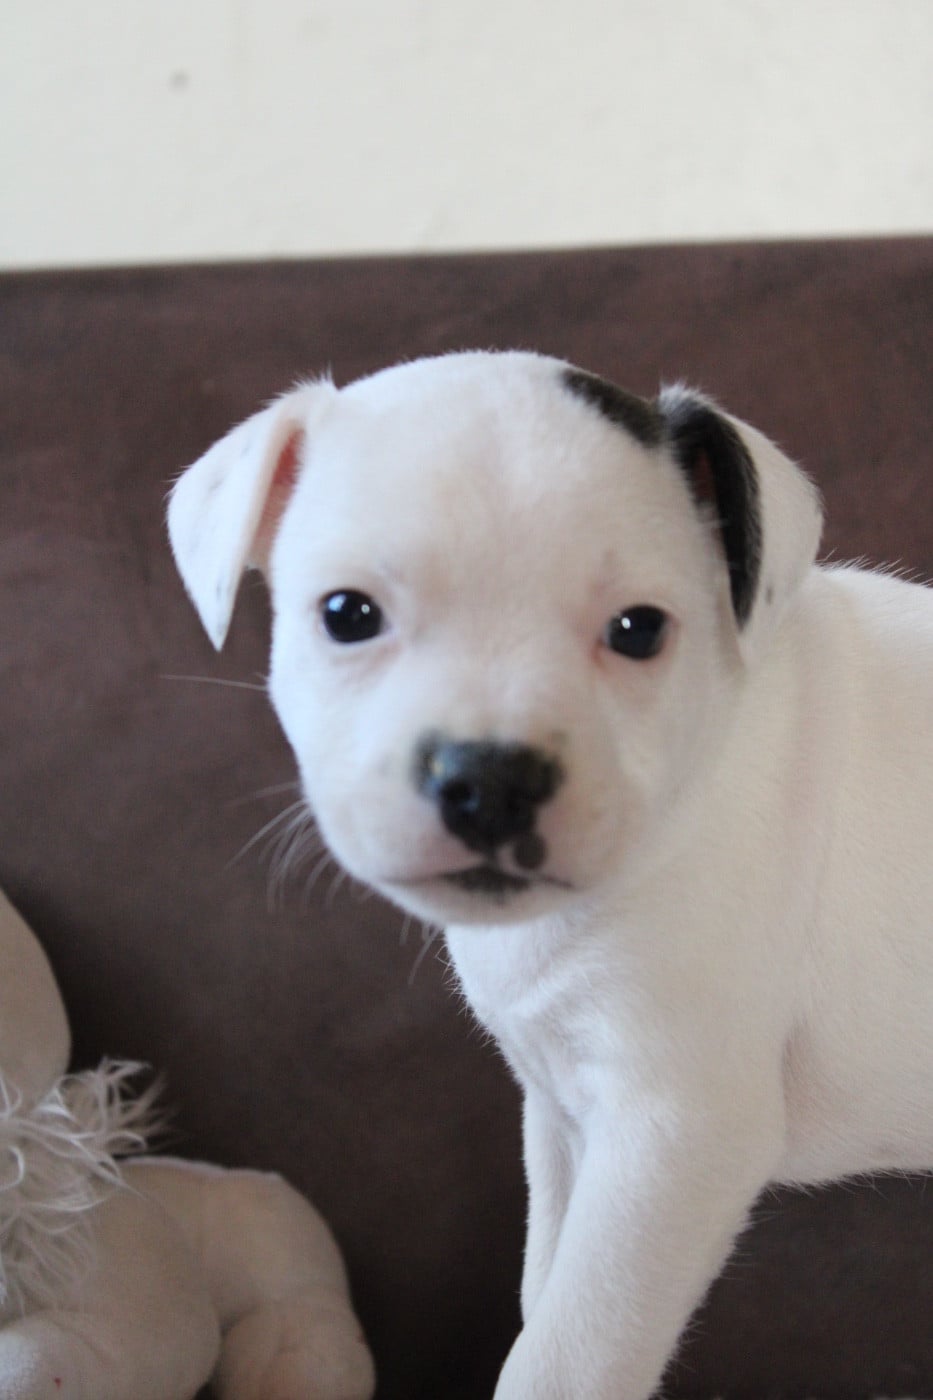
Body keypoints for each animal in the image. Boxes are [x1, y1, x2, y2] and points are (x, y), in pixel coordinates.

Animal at [168, 351, 933, 1400]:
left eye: (639, 630)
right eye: (347, 615)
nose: (490, 779)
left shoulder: (671, 1138)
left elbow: (565, 1353)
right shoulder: (565, 1120)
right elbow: (543, 1291)